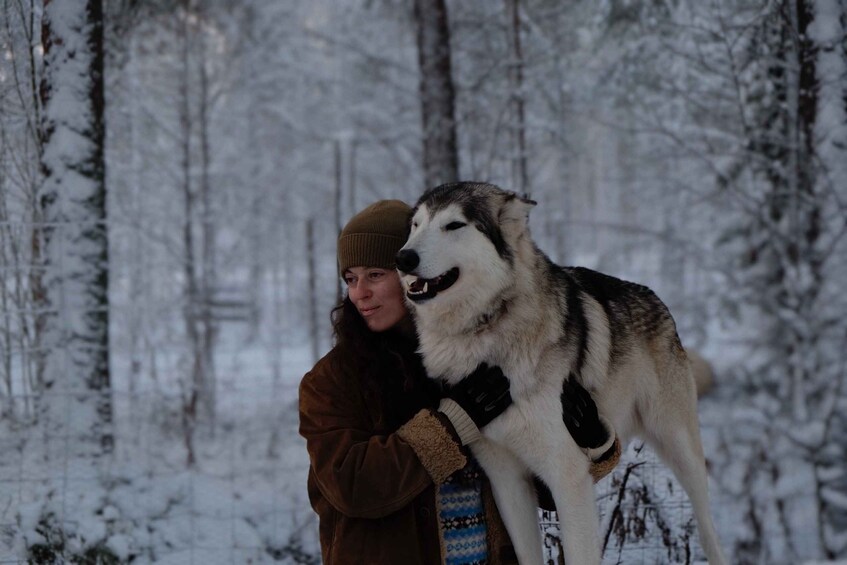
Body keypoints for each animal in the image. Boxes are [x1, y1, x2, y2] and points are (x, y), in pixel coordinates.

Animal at [394, 182, 724, 564]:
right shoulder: (506, 480)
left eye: (454, 225)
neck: (484, 336)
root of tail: (655, 297)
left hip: (680, 451)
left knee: (709, 531)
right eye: (416, 225)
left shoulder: (566, 474)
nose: (403, 258)